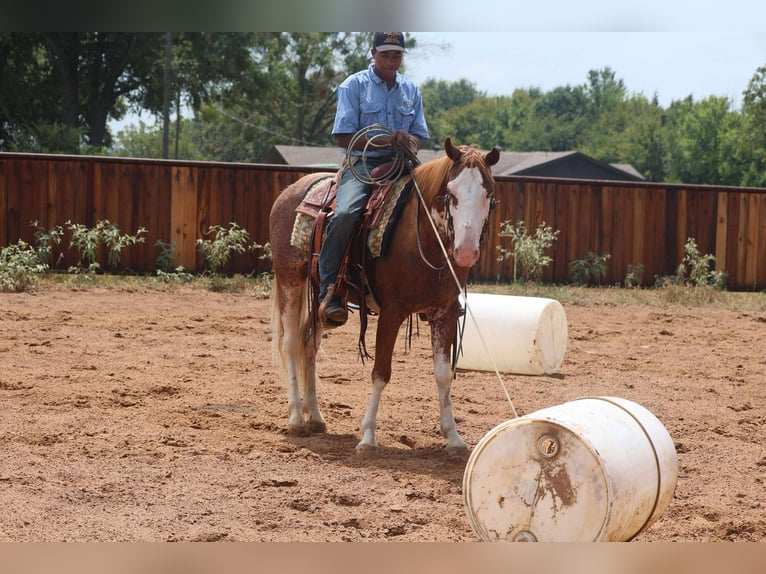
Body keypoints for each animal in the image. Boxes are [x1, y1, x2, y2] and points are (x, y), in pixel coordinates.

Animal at [269, 138, 500, 456]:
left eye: (488, 194)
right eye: (450, 194)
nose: (466, 252)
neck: (423, 238)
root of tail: (290, 191)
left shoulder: (445, 312)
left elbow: (443, 375)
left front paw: (453, 438)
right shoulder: (392, 311)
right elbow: (381, 372)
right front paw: (368, 437)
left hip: (318, 299)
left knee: (309, 344)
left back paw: (315, 416)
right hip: (290, 278)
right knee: (290, 343)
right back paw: (296, 419)